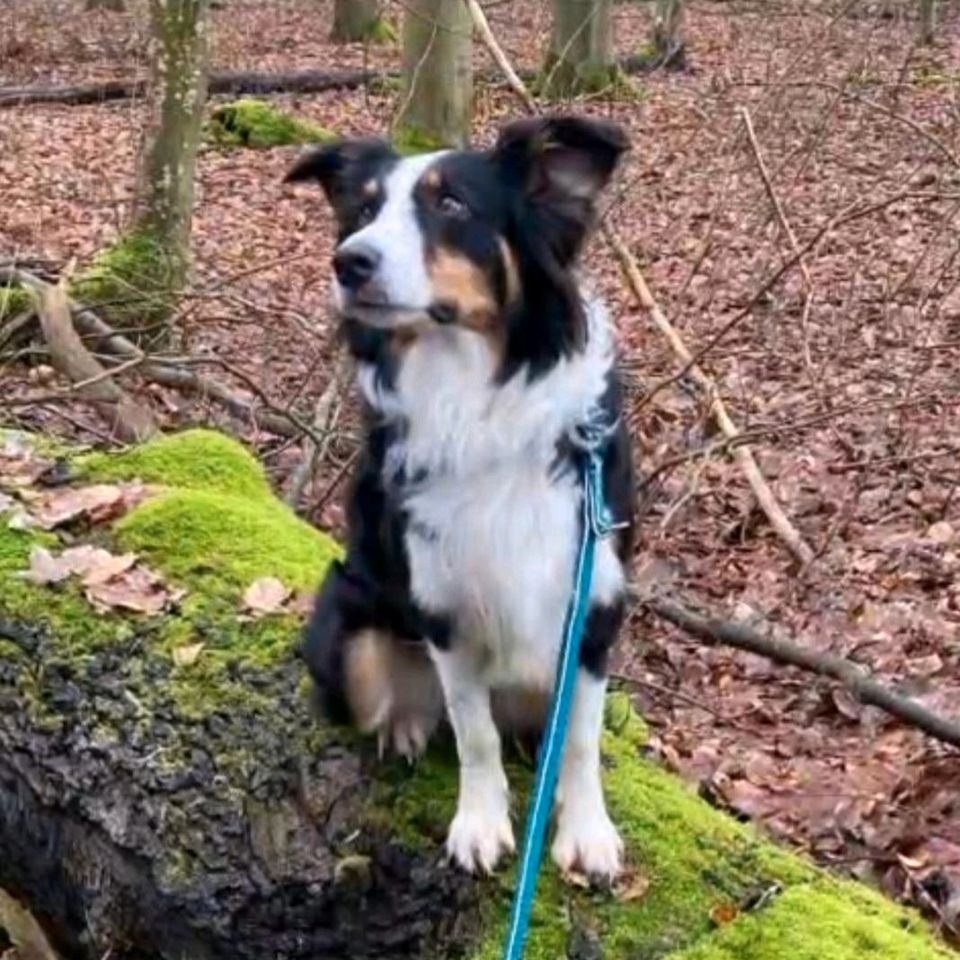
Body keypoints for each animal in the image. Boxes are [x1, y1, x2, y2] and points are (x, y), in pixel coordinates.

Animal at [292, 116, 636, 880]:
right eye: (364, 210)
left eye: (449, 204)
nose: (348, 261)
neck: (477, 402)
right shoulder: (442, 607)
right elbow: (473, 731)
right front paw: (480, 823)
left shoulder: (592, 602)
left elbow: (581, 737)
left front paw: (586, 829)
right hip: (347, 628)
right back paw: (405, 725)